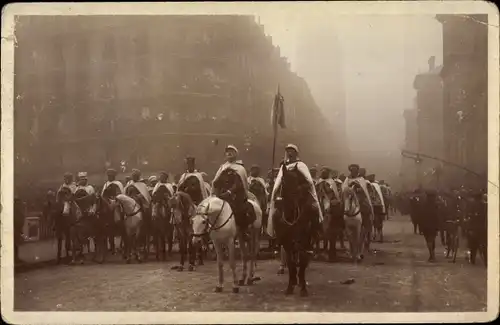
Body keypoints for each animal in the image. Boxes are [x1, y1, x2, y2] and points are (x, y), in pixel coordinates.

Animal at [274, 162, 316, 296]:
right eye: (283, 180)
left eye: (298, 180)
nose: (294, 202)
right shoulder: (286, 242)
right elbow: (291, 263)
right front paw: (290, 286)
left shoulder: (305, 241)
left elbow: (302, 263)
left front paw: (303, 287)